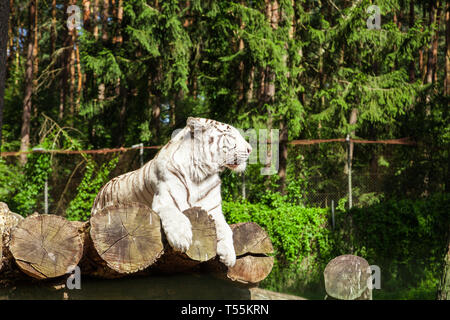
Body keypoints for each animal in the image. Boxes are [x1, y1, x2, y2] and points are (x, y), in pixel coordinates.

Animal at [91, 116, 253, 266]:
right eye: (229, 134)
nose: (250, 149)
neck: (201, 174)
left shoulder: (214, 211)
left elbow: (226, 229)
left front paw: (229, 256)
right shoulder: (165, 200)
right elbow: (176, 216)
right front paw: (181, 239)